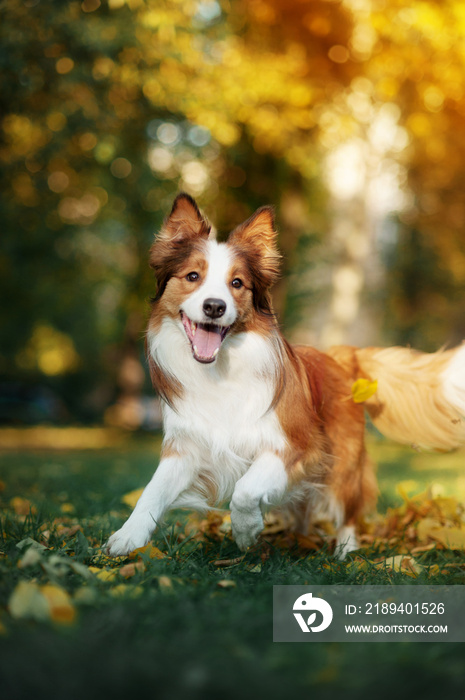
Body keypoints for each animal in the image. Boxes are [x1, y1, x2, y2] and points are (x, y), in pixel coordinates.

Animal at [105, 194, 464, 560]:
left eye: (237, 283)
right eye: (192, 276)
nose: (215, 307)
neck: (220, 371)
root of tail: (338, 356)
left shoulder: (298, 445)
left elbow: (245, 490)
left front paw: (246, 531)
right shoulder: (187, 447)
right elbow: (153, 489)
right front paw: (128, 536)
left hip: (344, 461)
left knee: (347, 510)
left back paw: (345, 551)